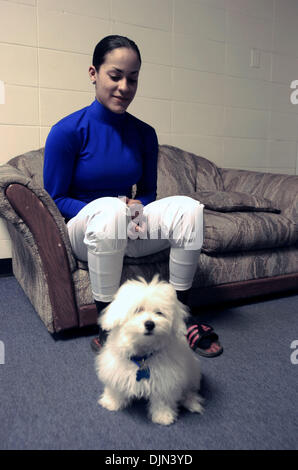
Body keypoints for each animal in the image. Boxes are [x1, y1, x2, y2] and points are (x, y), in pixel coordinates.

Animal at [95, 276, 203, 426]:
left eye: (159, 312)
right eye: (137, 310)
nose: (150, 324)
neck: (142, 354)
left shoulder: (166, 379)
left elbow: (163, 399)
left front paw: (163, 416)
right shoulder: (115, 368)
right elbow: (115, 386)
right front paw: (111, 402)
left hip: (191, 373)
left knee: (189, 390)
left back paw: (191, 402)